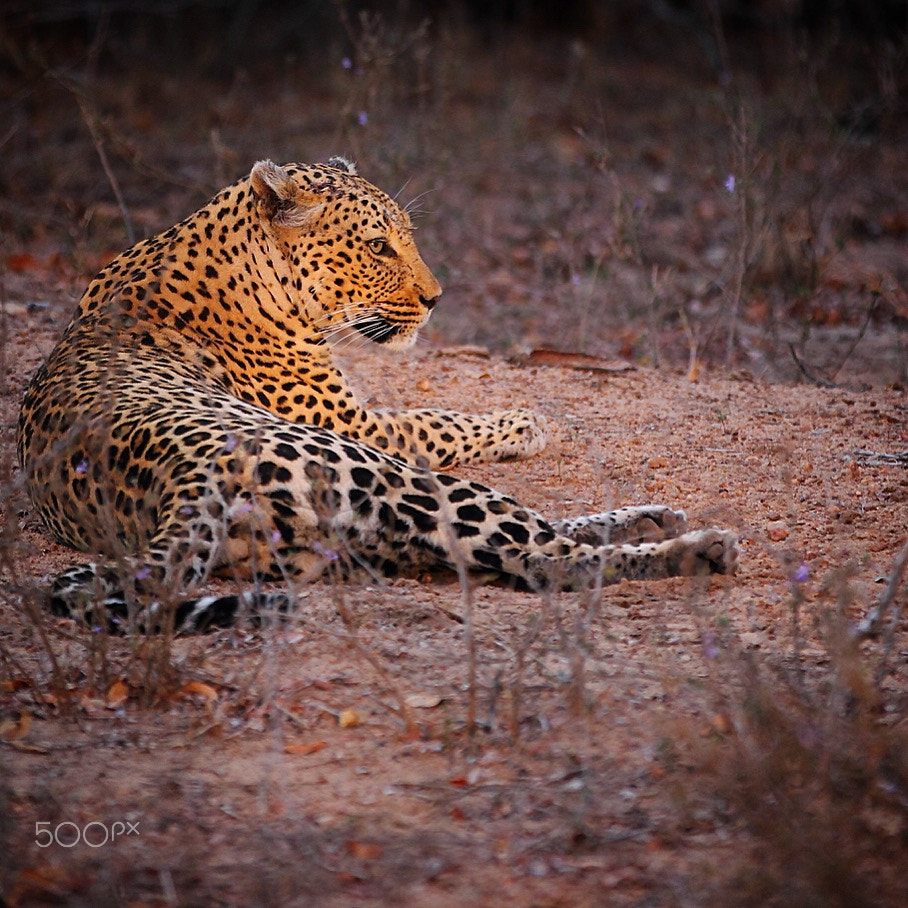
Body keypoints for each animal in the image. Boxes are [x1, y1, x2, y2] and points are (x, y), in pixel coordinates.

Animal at [15, 158, 736, 632]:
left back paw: (654, 519)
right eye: (377, 246)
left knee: (527, 550)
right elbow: (437, 419)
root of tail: (182, 478)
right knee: (548, 554)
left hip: (360, 535)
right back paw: (699, 547)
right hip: (385, 474)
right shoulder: (354, 421)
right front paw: (525, 422)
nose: (436, 298)